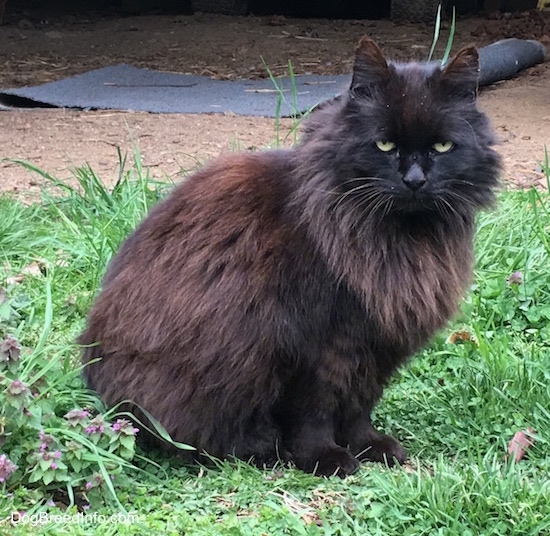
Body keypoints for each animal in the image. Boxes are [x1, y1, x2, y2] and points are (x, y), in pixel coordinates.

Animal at [81, 35, 504, 476]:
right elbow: (313, 412)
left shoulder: (371, 345)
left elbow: (359, 406)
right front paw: (325, 457)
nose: (415, 180)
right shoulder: (312, 343)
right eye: (385, 144)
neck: (396, 237)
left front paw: (370, 446)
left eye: (442, 146)